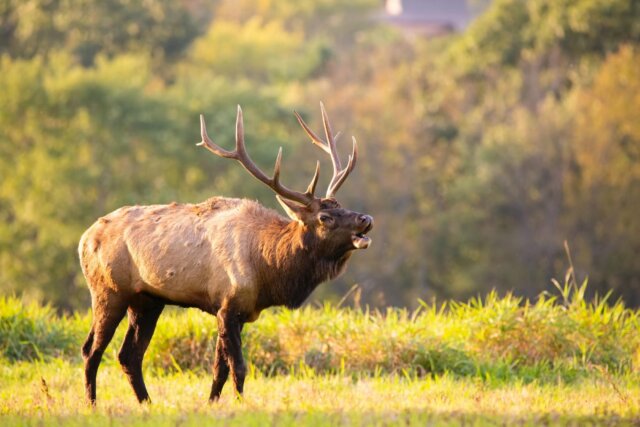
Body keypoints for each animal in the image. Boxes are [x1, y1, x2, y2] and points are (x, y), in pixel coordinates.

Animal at [78, 103, 372, 404]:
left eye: (341, 205)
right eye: (325, 217)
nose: (366, 219)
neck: (268, 269)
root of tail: (84, 238)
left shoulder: (237, 311)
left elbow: (219, 369)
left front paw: (212, 403)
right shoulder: (228, 305)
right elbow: (238, 367)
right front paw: (240, 404)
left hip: (147, 301)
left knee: (129, 355)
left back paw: (146, 403)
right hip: (108, 291)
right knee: (92, 350)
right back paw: (92, 403)